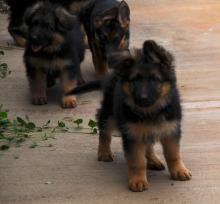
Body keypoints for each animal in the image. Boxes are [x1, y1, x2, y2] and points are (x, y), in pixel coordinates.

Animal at [95, 41, 192, 191]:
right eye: (135, 80)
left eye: (154, 79)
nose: (142, 98)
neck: (151, 111)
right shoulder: (133, 134)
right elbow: (137, 161)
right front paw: (138, 180)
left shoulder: (171, 130)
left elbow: (173, 154)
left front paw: (179, 170)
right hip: (110, 112)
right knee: (104, 127)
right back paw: (104, 151)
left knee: (148, 144)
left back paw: (153, 160)